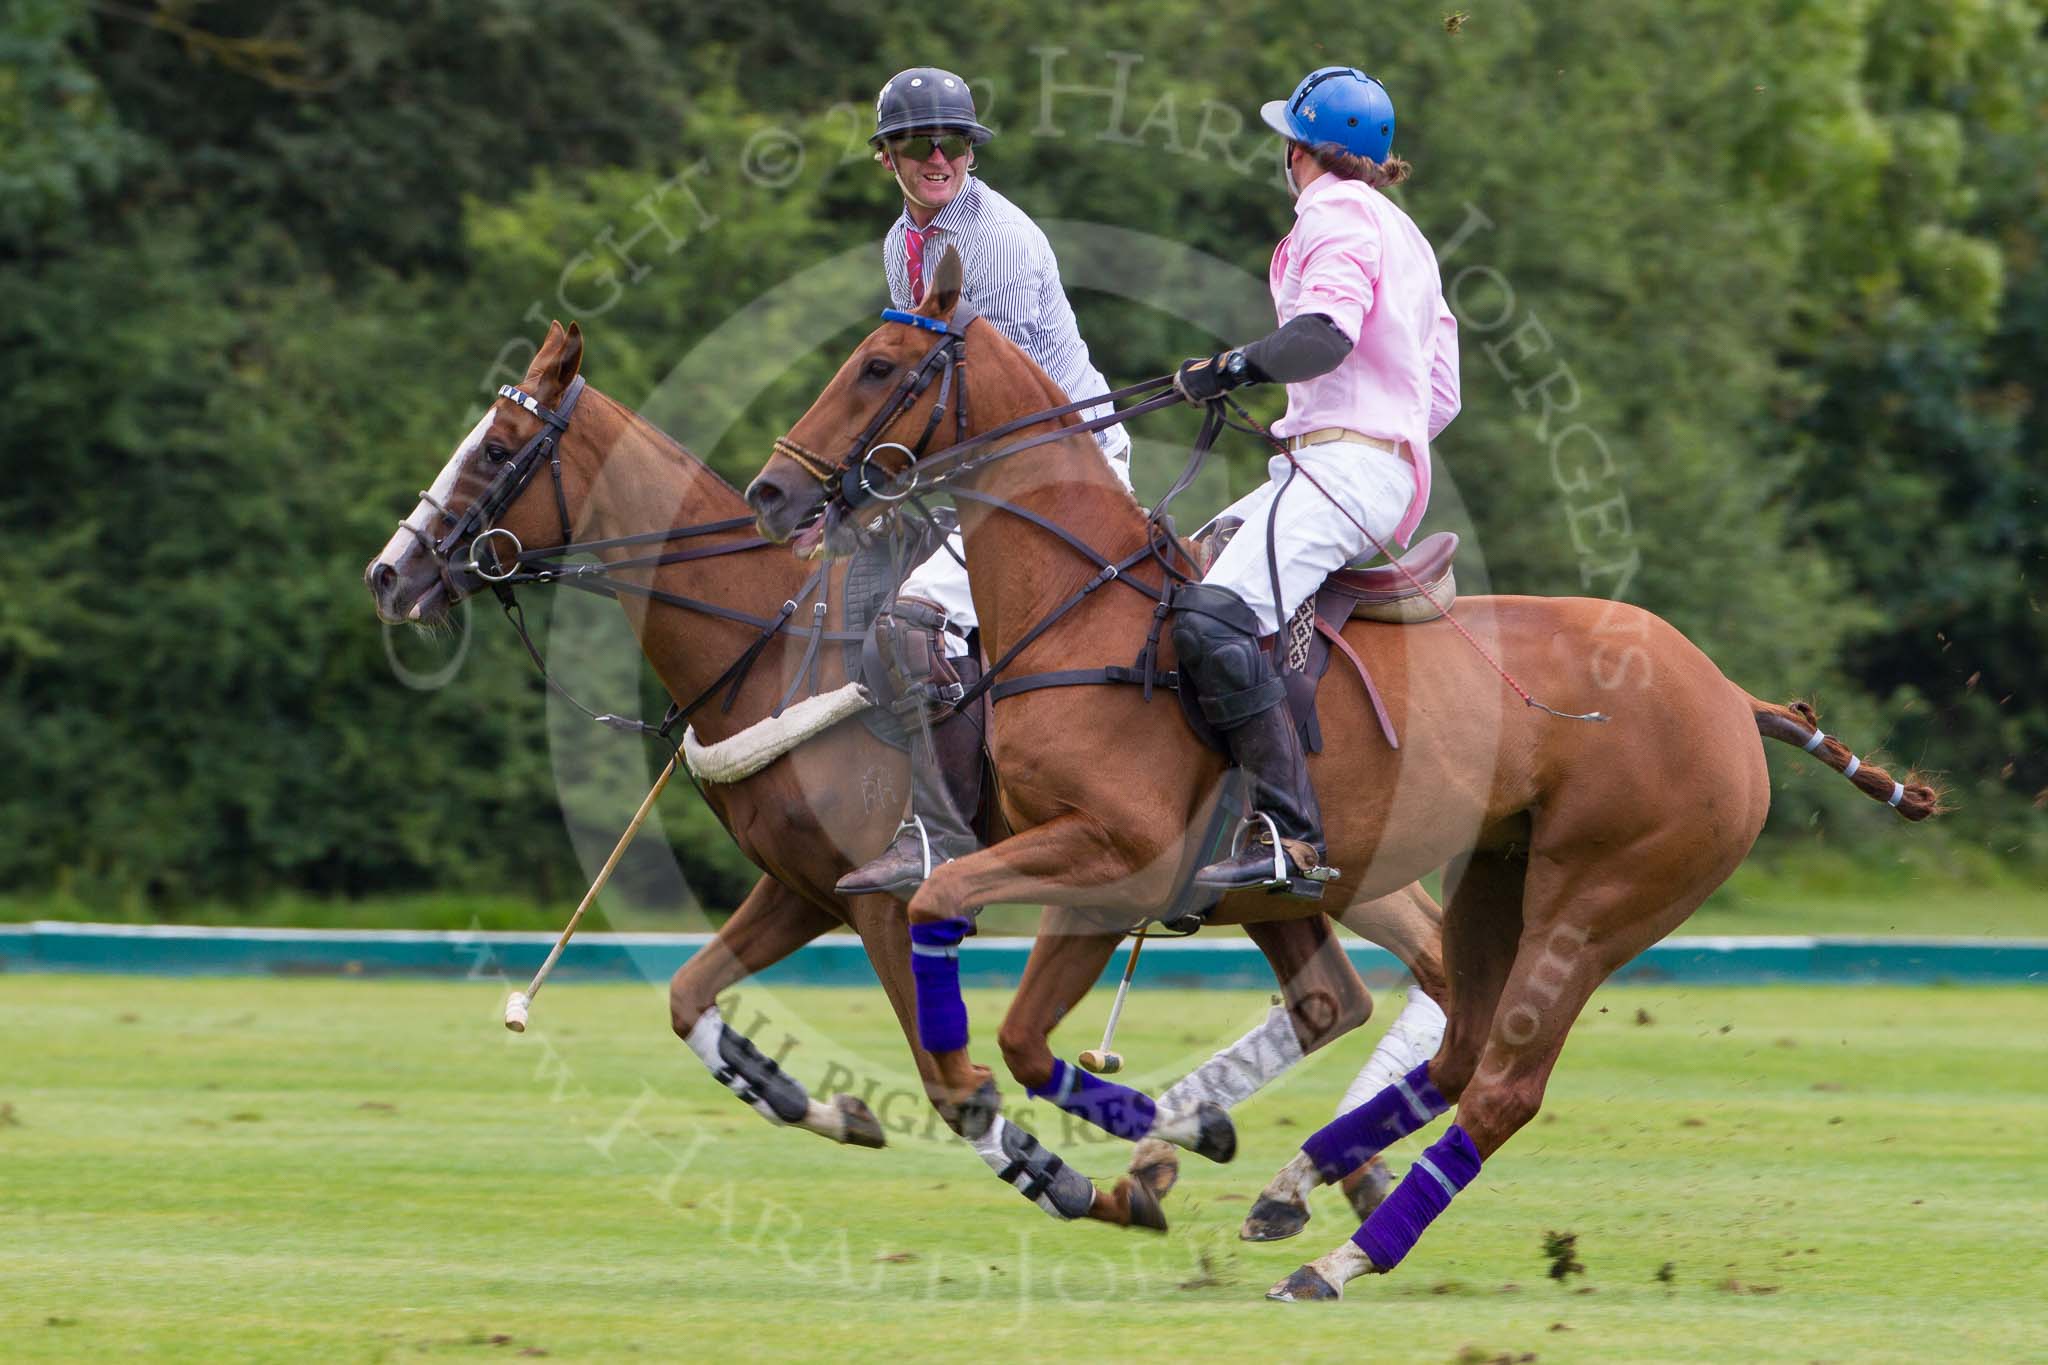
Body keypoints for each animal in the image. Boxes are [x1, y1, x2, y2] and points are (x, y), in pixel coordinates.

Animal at [368, 323, 1458, 1236]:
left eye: (498, 449)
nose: (388, 574)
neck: (776, 641)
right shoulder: (805, 887)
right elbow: (686, 998)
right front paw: (826, 1106)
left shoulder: (883, 899)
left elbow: (951, 1082)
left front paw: (1074, 1181)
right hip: (1323, 875)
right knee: (1375, 987)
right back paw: (1311, 1170)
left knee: (1424, 975)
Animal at [745, 250, 1941, 1301]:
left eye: (880, 365)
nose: (769, 493)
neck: (1085, 607)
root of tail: (1729, 698)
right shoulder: (1105, 882)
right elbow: (1026, 1042)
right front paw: (1178, 1134)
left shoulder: (1112, 846)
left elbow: (948, 921)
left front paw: (1025, 1112)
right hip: (1495, 876)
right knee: (1456, 1051)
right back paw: (1298, 1181)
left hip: (1598, 900)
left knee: (1503, 1087)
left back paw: (1338, 1258)